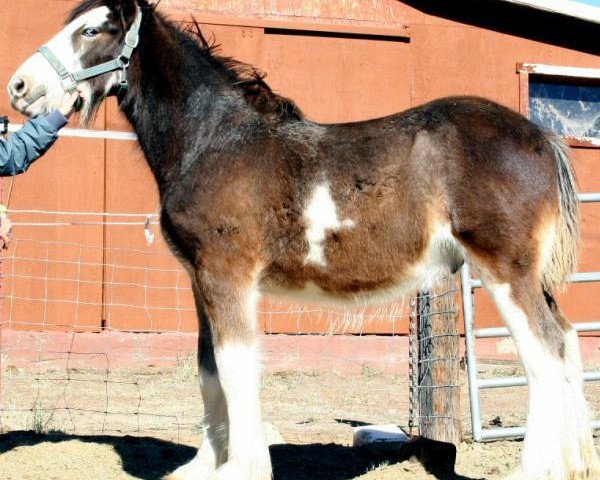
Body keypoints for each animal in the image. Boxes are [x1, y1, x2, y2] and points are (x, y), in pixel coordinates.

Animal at [5, 0, 600, 480]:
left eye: (92, 29)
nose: (19, 88)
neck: (215, 143)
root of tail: (543, 137)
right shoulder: (201, 282)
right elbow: (208, 369)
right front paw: (205, 465)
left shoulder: (228, 276)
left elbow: (236, 367)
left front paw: (242, 468)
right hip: (532, 279)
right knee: (569, 342)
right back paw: (573, 464)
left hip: (505, 272)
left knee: (544, 354)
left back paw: (535, 468)